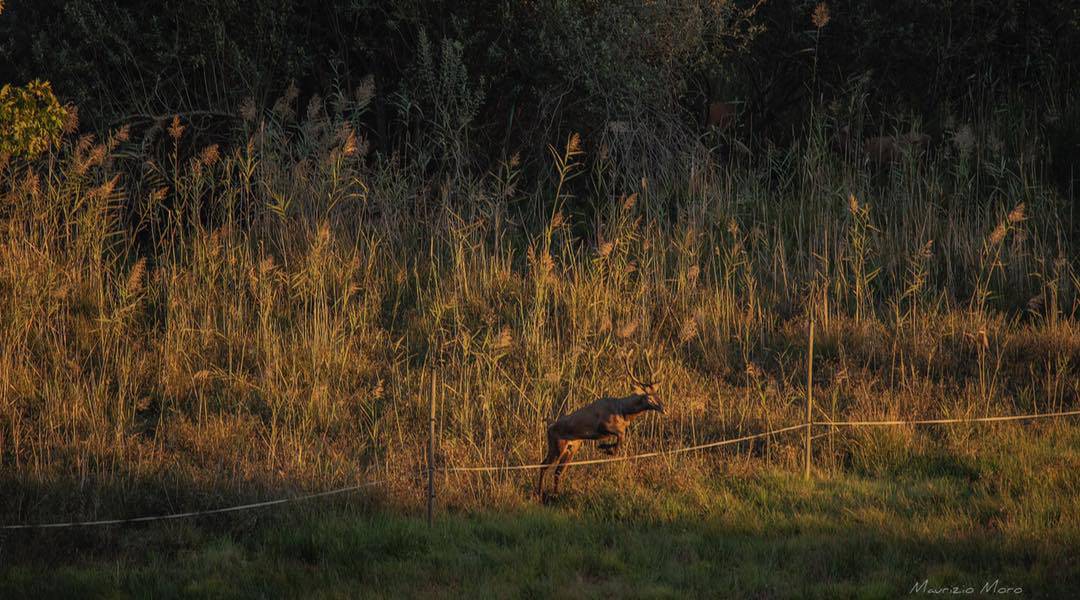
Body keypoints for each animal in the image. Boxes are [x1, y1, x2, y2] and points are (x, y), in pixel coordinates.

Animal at [535, 351, 660, 500]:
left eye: (658, 394)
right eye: (648, 397)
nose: (663, 408)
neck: (623, 411)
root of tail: (549, 425)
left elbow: (620, 440)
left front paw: (605, 448)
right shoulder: (603, 426)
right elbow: (620, 438)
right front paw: (606, 449)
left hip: (571, 448)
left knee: (558, 471)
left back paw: (555, 494)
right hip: (557, 445)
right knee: (543, 465)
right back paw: (539, 494)